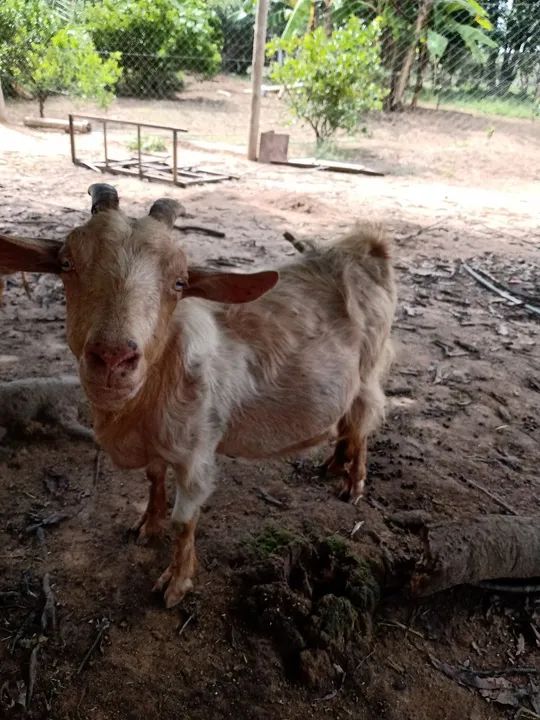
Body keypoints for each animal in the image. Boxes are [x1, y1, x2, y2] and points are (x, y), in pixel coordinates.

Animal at [0, 184, 396, 608]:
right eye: (66, 263)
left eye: (180, 282)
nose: (113, 358)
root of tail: (365, 248)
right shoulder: (155, 446)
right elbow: (153, 480)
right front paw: (146, 525)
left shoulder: (196, 452)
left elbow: (183, 522)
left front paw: (175, 584)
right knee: (347, 423)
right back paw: (333, 465)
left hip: (369, 370)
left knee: (363, 423)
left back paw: (353, 484)